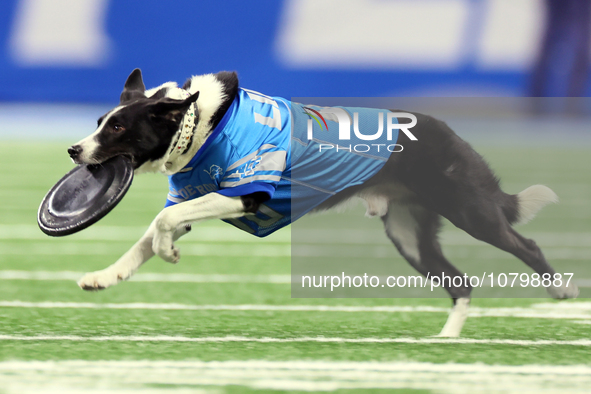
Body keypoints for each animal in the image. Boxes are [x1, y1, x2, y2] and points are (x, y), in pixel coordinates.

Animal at [68, 69, 580, 338]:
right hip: (408, 234)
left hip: (470, 209)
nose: (74, 150)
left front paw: (168, 249)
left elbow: (163, 218)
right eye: (99, 123)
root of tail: (451, 132)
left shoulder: (247, 193)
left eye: (118, 128)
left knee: (526, 245)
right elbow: (149, 235)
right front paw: (107, 275)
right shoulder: (202, 193)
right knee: (461, 281)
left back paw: (562, 291)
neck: (202, 122)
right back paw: (449, 338)